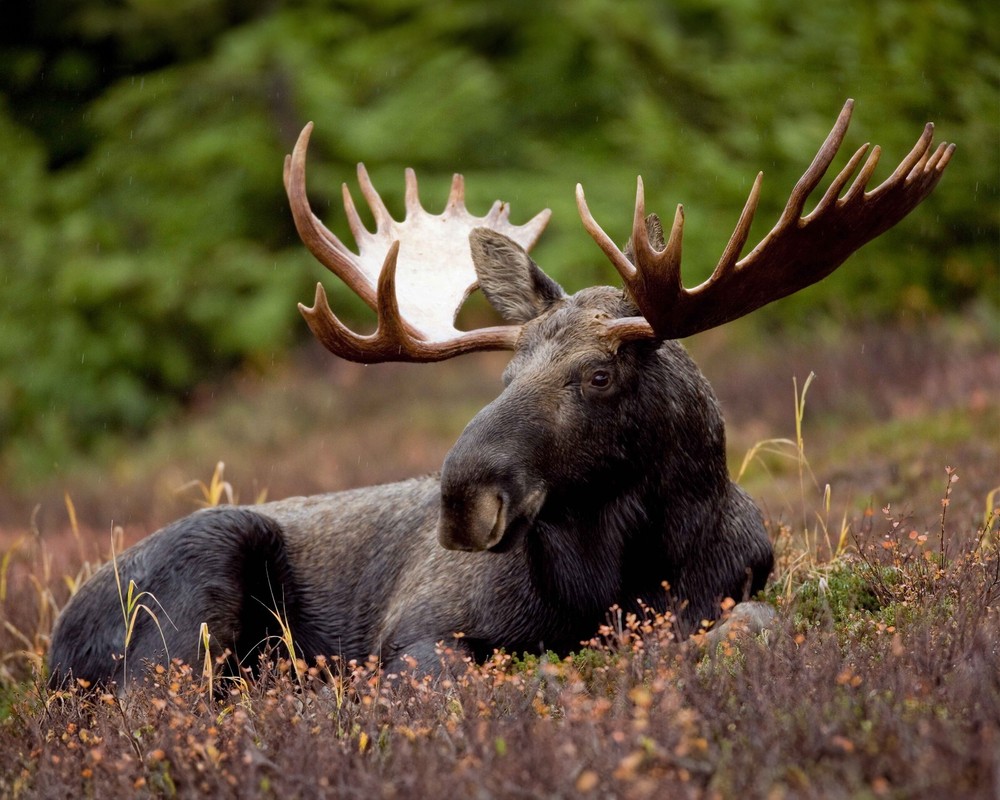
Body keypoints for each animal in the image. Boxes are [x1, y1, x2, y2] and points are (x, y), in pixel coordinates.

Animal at [47, 100, 953, 688]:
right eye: (506, 376)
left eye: (598, 374)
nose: (462, 499)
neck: (613, 578)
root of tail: (55, 641)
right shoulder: (418, 634)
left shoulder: (732, 592)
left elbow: (753, 629)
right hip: (187, 604)